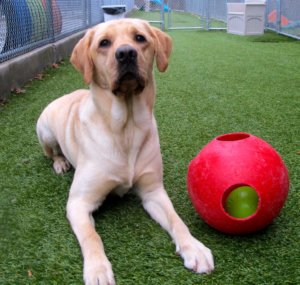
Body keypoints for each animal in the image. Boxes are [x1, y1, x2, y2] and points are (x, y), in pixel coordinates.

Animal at [36, 18, 214, 282]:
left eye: (140, 38)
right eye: (104, 43)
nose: (126, 53)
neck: (126, 128)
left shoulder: (153, 191)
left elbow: (176, 219)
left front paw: (194, 247)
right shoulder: (78, 202)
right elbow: (92, 237)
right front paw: (98, 270)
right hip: (45, 131)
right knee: (52, 152)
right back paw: (60, 162)